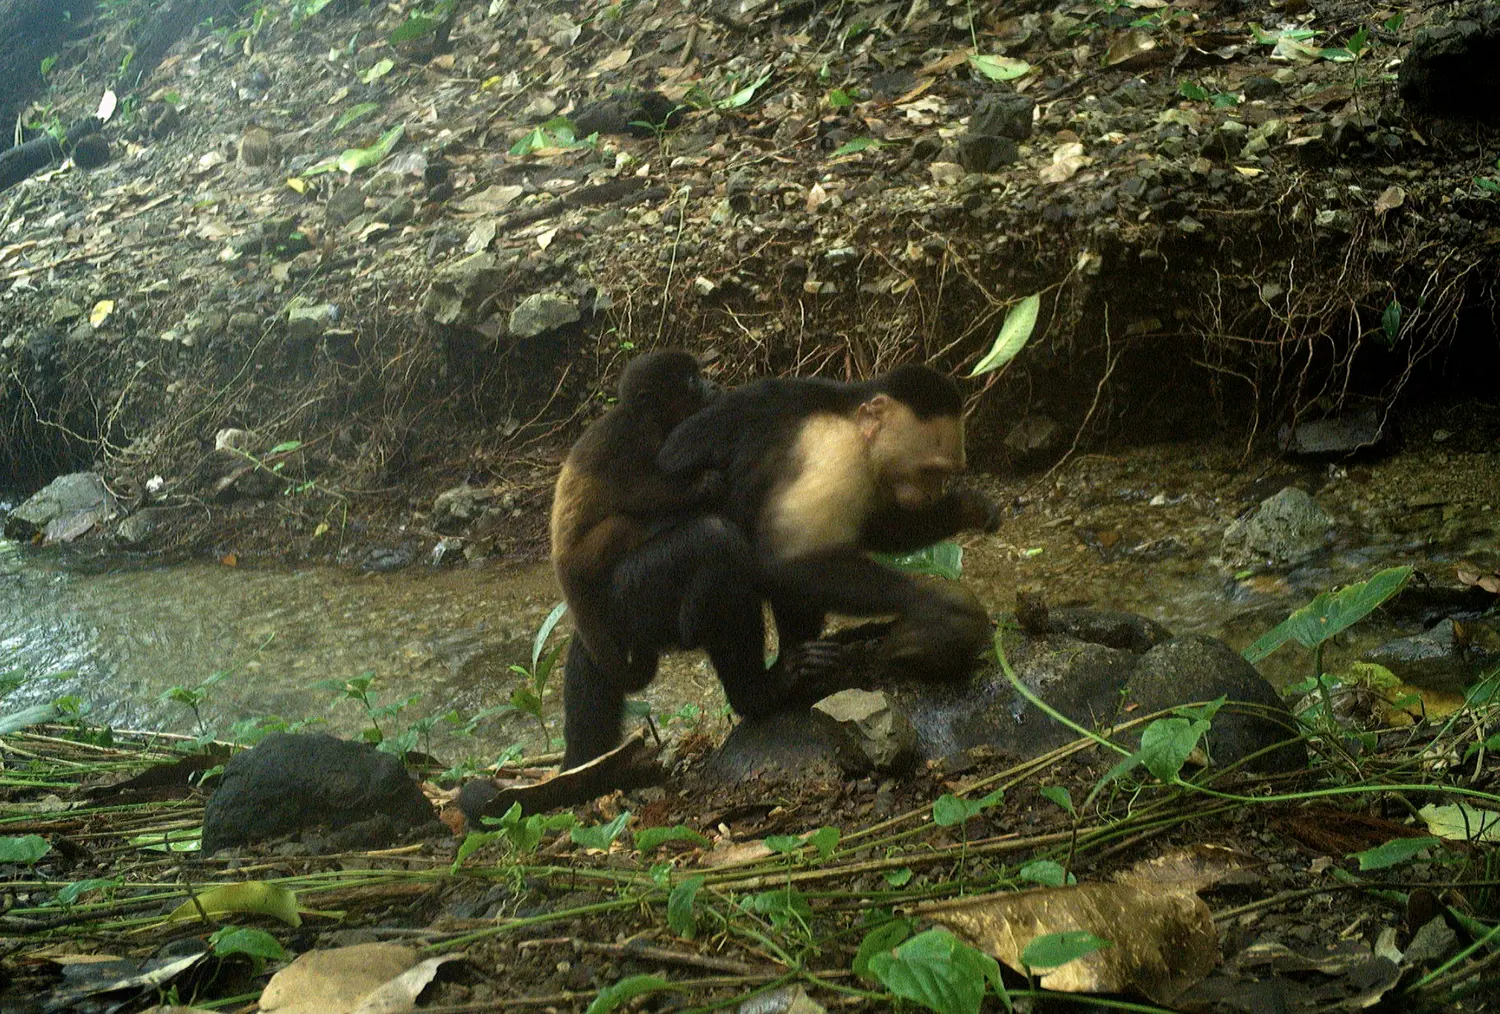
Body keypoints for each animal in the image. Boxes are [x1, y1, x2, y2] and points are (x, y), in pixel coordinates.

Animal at [655, 362, 1001, 684]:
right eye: (929, 471)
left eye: (946, 474)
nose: (932, 496)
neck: (851, 418)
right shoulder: (837, 455)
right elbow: (787, 561)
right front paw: (938, 608)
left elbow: (879, 531)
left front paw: (969, 508)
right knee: (725, 548)